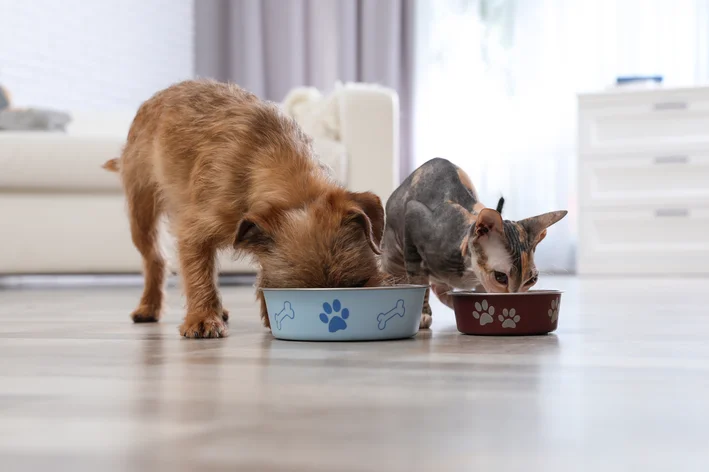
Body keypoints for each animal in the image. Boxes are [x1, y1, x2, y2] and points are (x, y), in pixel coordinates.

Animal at [102, 80, 384, 340]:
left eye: (360, 284)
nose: (333, 307)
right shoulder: (194, 233)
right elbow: (198, 275)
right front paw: (203, 318)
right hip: (141, 213)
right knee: (155, 259)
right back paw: (149, 306)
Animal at [378, 159, 568, 328]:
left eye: (532, 280)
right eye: (500, 277)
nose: (515, 297)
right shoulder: (413, 213)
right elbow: (419, 281)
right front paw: (423, 315)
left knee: (441, 289)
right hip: (393, 253)